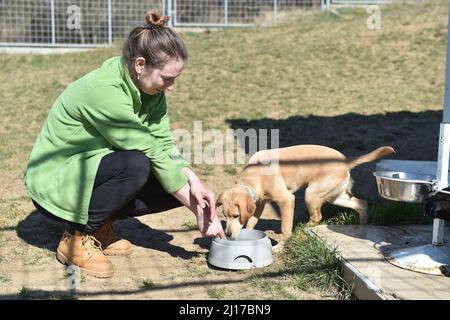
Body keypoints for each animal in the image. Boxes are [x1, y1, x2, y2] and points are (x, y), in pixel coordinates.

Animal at [216, 144, 392, 249]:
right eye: (225, 215)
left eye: (235, 215)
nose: (228, 234)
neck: (256, 174)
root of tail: (345, 161)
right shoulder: (259, 204)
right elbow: (251, 222)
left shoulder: (286, 200)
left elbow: (285, 228)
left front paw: (280, 247)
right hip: (334, 196)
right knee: (361, 204)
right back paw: (362, 225)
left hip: (311, 194)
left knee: (317, 217)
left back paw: (301, 230)